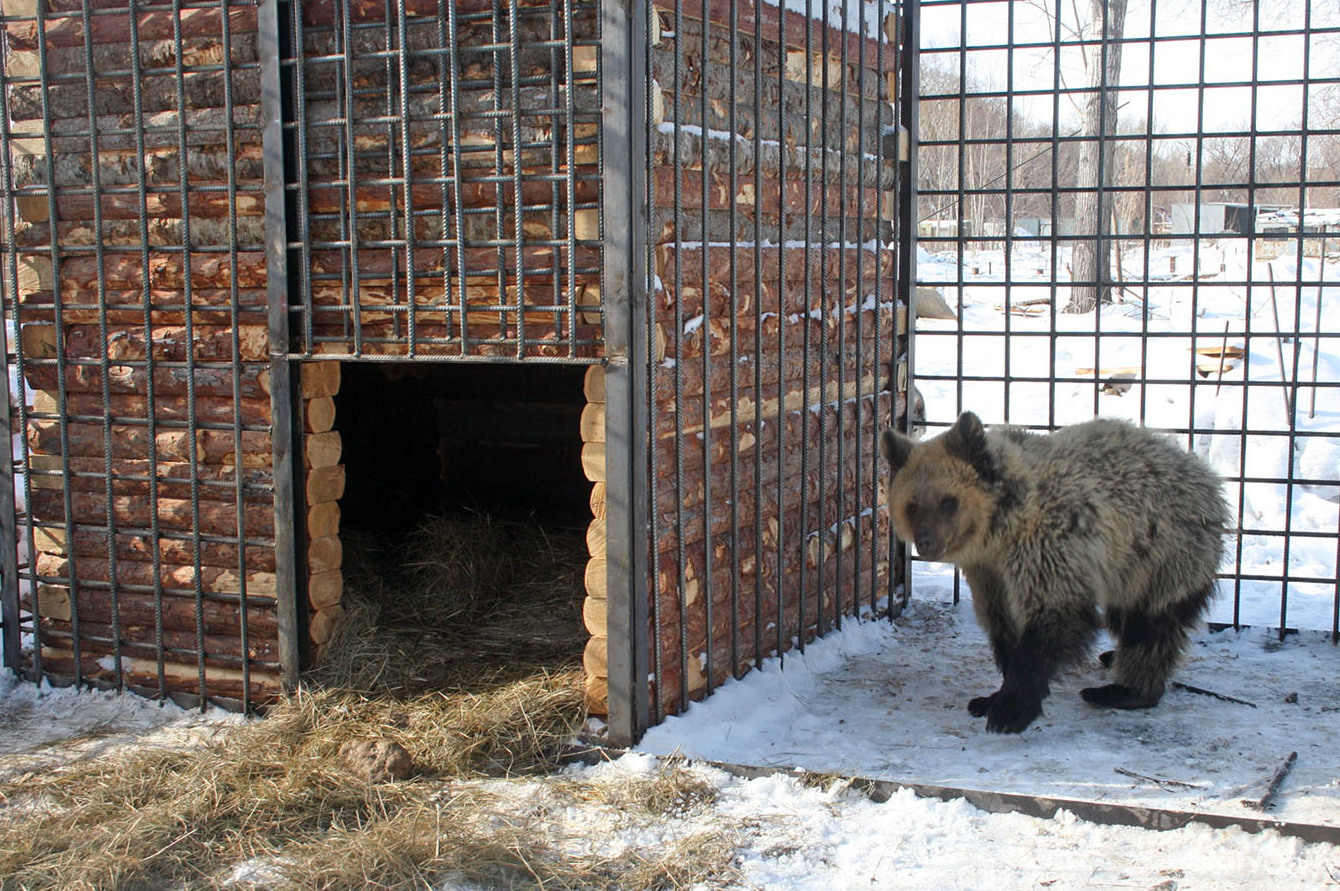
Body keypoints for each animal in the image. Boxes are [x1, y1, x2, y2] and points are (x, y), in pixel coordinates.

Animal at [884, 409, 1227, 728]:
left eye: (948, 501)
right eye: (912, 505)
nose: (927, 543)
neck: (1000, 530)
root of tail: (1206, 475)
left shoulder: (1050, 547)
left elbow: (1053, 621)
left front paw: (1011, 709)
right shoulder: (989, 573)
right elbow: (1004, 626)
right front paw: (993, 697)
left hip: (1162, 553)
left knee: (1151, 627)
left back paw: (1125, 690)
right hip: (1129, 568)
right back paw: (1113, 658)